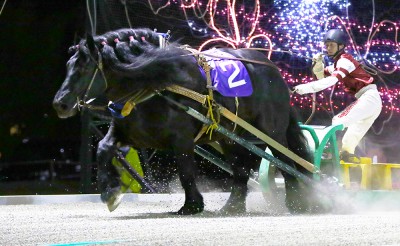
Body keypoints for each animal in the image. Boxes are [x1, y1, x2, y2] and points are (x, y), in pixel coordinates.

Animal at [53, 27, 314, 214]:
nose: (60, 103)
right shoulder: (127, 133)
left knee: (287, 163)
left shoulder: (182, 140)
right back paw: (233, 207)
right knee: (241, 170)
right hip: (230, 138)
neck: (157, 82)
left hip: (272, 132)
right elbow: (103, 149)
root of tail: (273, 69)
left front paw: (192, 205)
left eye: (84, 68)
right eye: (68, 66)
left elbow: (186, 172)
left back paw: (297, 203)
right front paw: (110, 191)